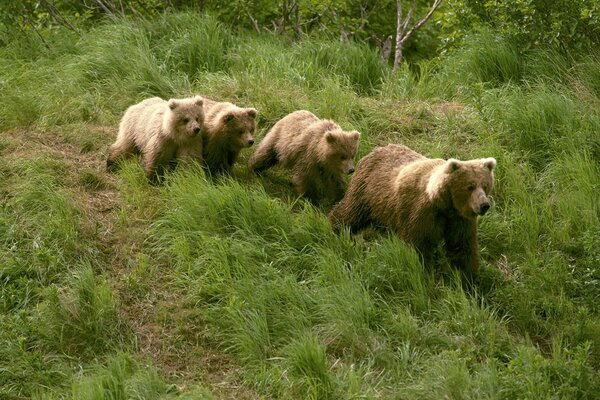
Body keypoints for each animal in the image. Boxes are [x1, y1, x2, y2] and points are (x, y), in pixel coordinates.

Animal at [328, 145, 496, 276]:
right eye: (470, 186)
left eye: (485, 185)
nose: (484, 205)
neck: (443, 205)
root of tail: (374, 150)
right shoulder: (420, 213)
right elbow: (418, 247)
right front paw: (424, 272)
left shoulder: (458, 219)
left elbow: (462, 247)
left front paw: (468, 278)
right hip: (366, 192)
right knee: (349, 213)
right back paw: (333, 227)